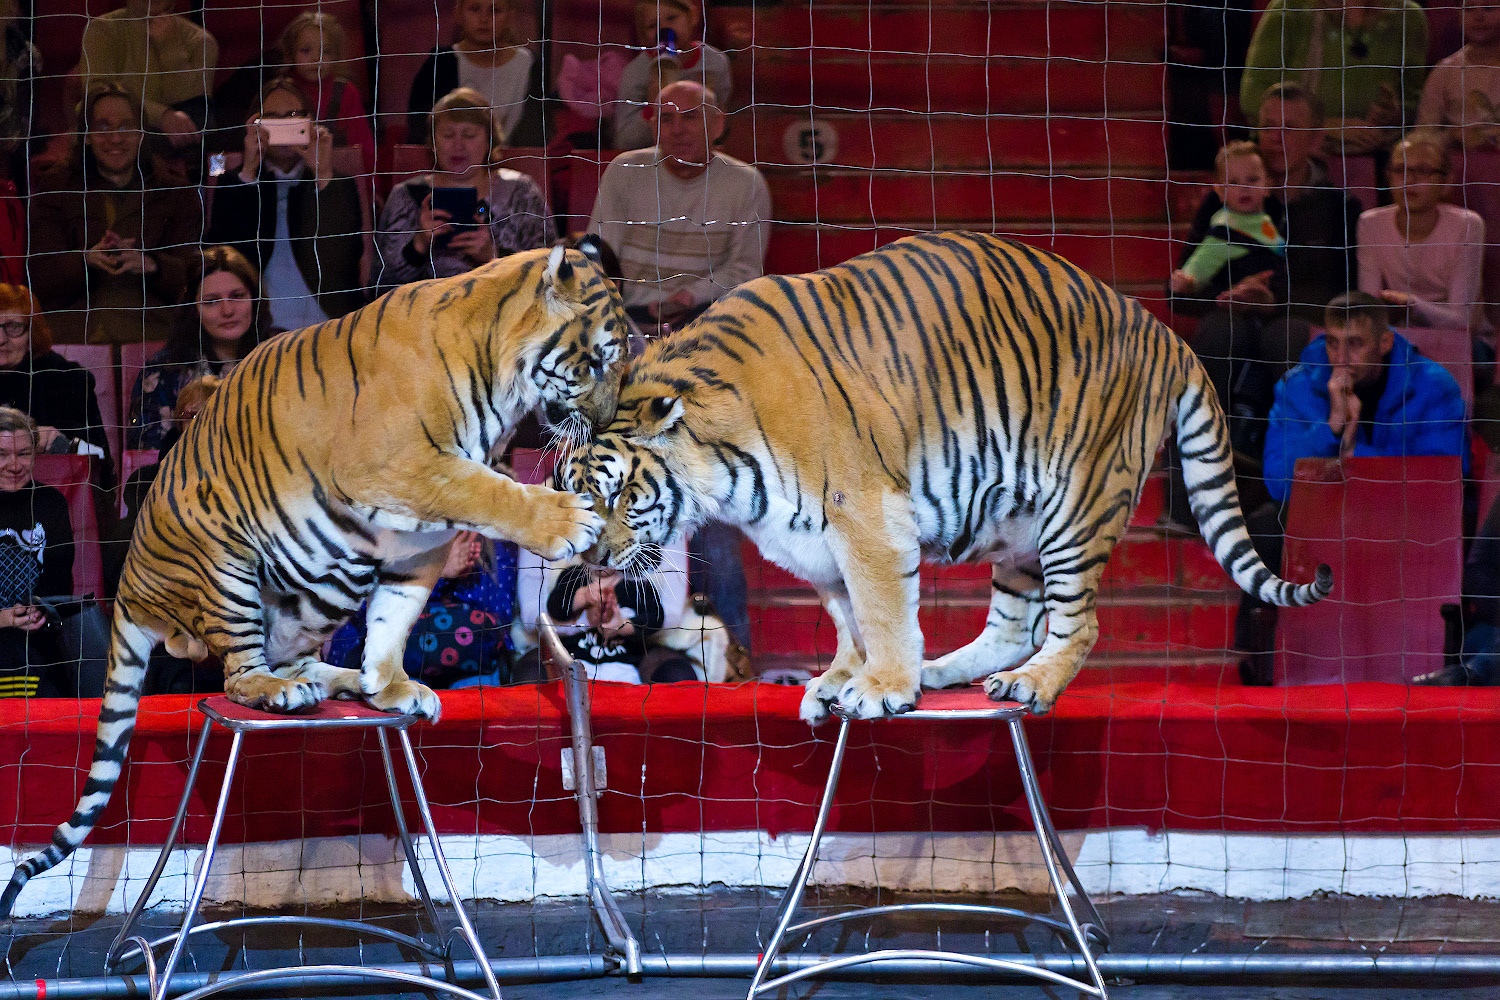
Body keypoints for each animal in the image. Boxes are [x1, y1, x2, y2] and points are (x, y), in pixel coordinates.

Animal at [0, 244, 630, 917]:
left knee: (292, 658)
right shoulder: (404, 467)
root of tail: (129, 592)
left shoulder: (417, 543)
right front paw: (567, 520)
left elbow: (394, 619)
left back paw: (341, 681)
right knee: (237, 674)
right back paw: (278, 693)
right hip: (226, 564)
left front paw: (390, 685)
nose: (607, 423)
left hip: (316, 590)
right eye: (598, 360)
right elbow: (491, 491)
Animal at [567, 232, 1332, 722]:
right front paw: (842, 680)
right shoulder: (812, 546)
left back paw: (1031, 685)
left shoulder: (863, 518)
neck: (721, 464)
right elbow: (847, 619)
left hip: (1077, 507)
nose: (593, 559)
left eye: (618, 492)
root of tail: (1165, 334)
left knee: (1078, 624)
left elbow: (879, 610)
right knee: (1014, 624)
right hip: (1022, 530)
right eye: (579, 499)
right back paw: (950, 672)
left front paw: (881, 686)